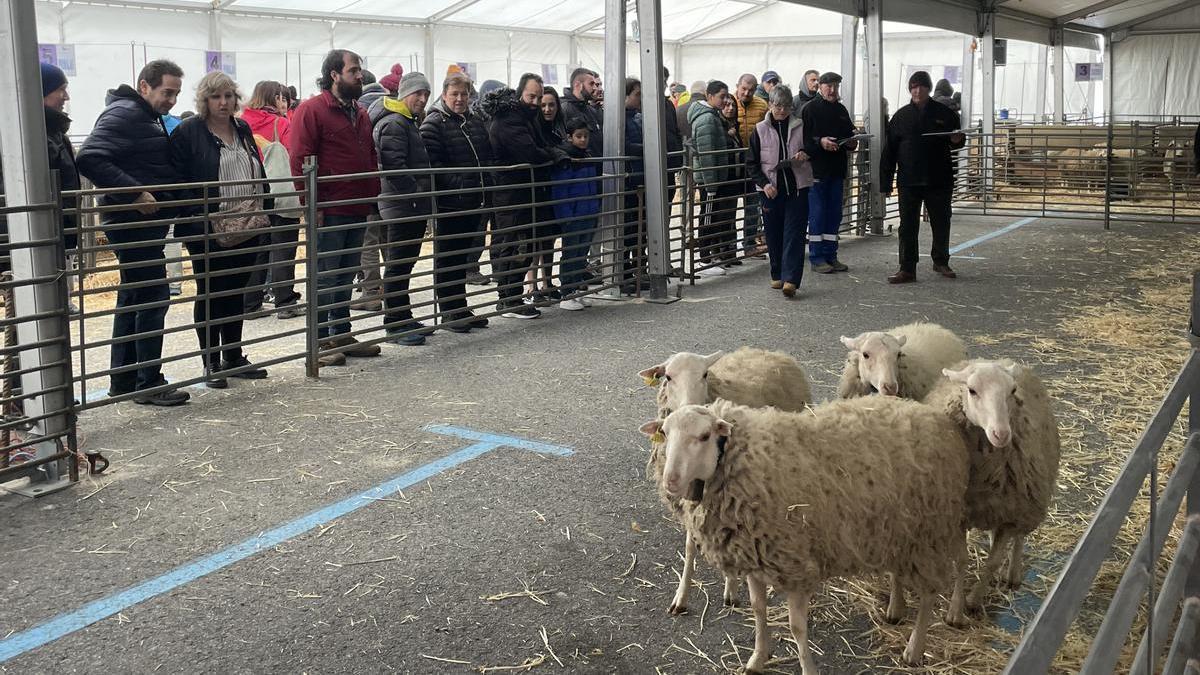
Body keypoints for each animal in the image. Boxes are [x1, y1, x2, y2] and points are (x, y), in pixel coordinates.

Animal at [638, 348, 816, 612]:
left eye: (704, 374)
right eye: (667, 377)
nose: (691, 405)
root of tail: (769, 352)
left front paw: (730, 588)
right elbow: (690, 547)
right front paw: (681, 596)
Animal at [643, 396, 969, 667]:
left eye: (704, 436)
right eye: (665, 434)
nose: (671, 481)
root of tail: (938, 418)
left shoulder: (795, 564)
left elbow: (797, 627)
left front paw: (806, 666)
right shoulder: (754, 557)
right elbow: (758, 610)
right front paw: (757, 658)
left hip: (930, 533)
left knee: (929, 593)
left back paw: (915, 648)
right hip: (901, 530)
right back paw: (895, 610)